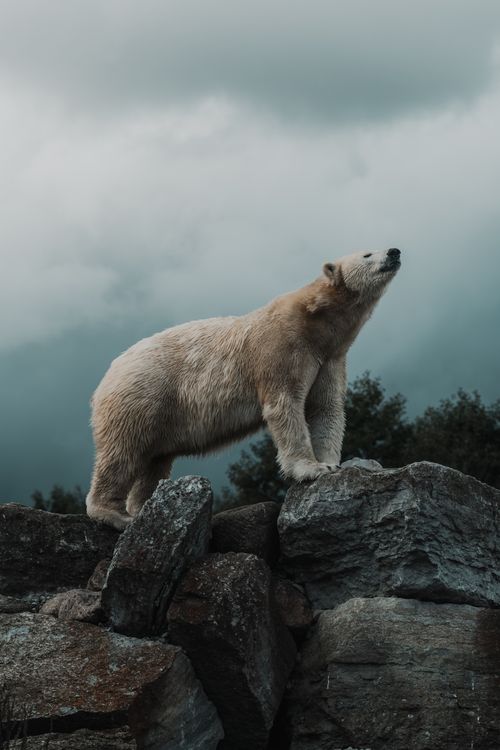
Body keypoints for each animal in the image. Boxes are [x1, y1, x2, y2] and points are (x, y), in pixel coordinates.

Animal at [86, 248, 401, 529]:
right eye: (367, 254)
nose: (394, 252)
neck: (315, 322)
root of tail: (109, 372)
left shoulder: (330, 358)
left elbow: (325, 408)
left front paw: (335, 464)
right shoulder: (281, 348)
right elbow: (285, 405)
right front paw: (311, 469)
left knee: (155, 460)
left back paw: (143, 505)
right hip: (143, 392)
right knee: (123, 450)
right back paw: (115, 514)